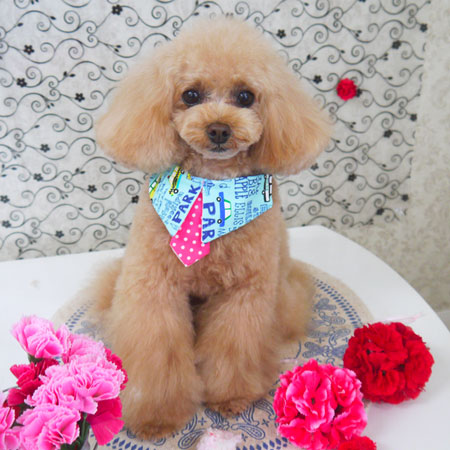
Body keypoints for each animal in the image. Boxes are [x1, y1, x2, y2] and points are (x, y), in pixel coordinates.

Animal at [92, 17, 330, 439]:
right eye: (190, 94)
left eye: (245, 96)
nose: (219, 129)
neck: (212, 192)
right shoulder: (153, 289)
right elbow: (158, 354)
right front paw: (156, 416)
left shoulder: (244, 294)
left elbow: (234, 347)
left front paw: (231, 396)